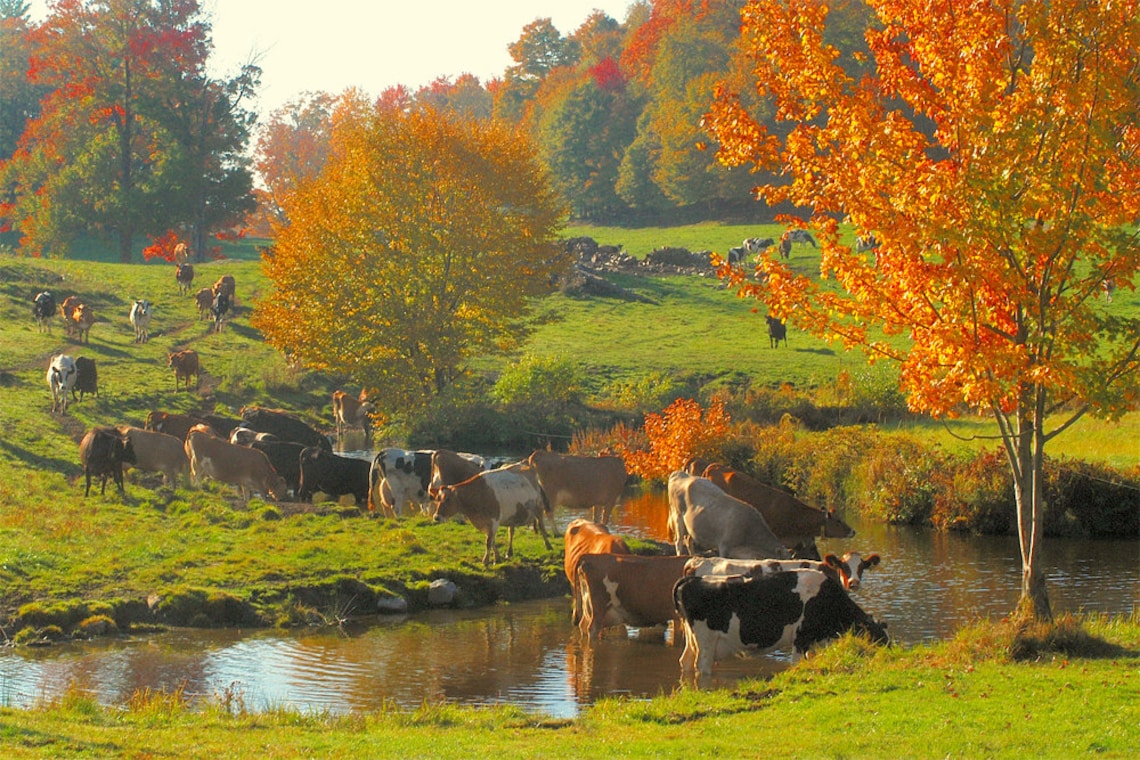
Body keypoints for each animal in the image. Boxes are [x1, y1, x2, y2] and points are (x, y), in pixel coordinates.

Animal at [673, 569, 888, 675]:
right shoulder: (801, 637)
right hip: (706, 641)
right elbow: (796, 663)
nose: (890, 655)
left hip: (692, 640)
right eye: (880, 638)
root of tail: (692, 579)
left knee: (685, 662)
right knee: (702, 667)